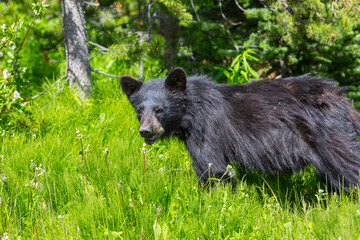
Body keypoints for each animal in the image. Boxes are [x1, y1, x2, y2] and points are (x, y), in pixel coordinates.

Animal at [121, 68, 360, 191]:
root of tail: (340, 97)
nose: (145, 131)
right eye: (139, 110)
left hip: (327, 134)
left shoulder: (206, 129)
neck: (191, 111)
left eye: (160, 110)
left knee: (348, 163)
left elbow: (212, 168)